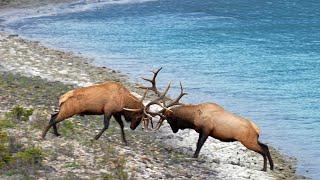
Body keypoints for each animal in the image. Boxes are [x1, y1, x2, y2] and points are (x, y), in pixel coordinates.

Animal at [139, 68, 274, 172]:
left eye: (169, 119)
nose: (174, 130)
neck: (193, 118)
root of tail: (257, 129)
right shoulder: (202, 131)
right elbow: (198, 144)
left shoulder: (206, 129)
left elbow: (199, 144)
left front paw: (194, 156)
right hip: (253, 139)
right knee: (265, 146)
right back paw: (271, 167)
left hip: (247, 140)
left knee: (263, 150)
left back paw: (265, 168)